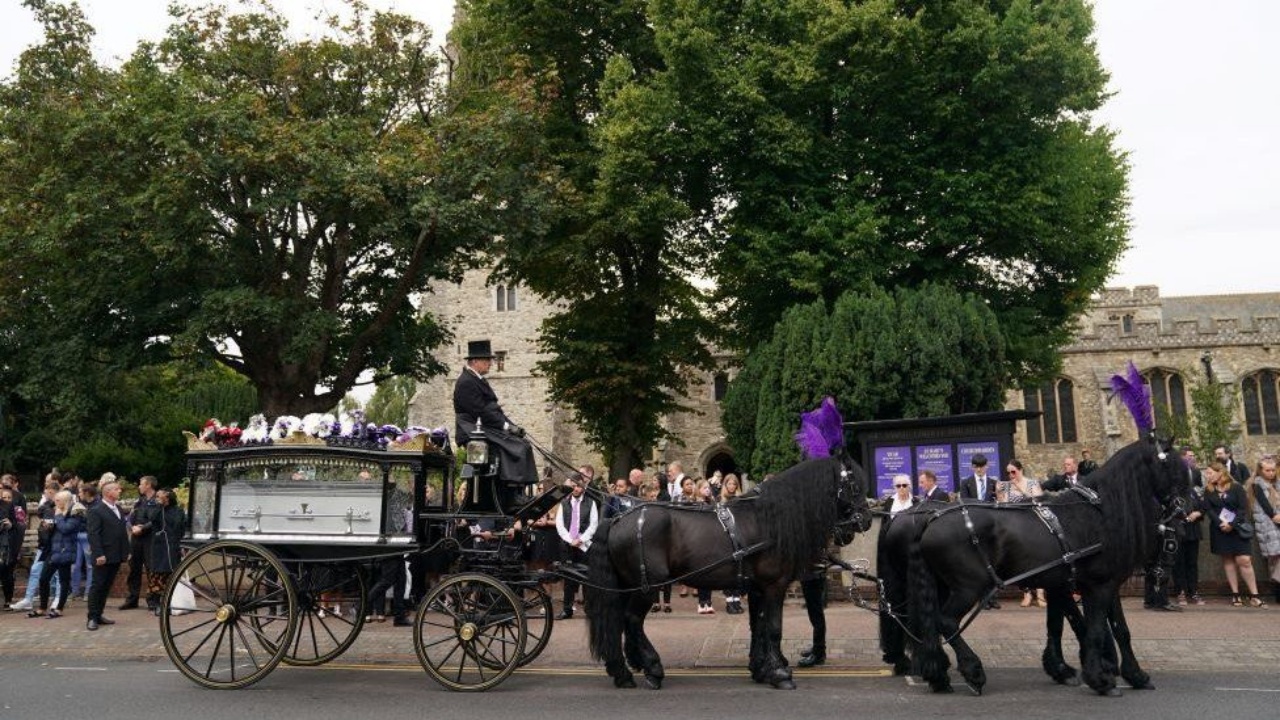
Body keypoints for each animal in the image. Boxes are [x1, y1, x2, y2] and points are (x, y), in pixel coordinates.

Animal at [586, 450, 870, 686]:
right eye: (854, 485)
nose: (865, 520)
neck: (768, 520)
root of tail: (617, 519)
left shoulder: (757, 588)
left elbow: (758, 627)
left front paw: (761, 669)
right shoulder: (774, 585)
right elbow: (774, 628)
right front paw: (779, 673)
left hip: (629, 585)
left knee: (619, 621)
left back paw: (622, 671)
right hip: (648, 586)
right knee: (632, 620)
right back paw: (652, 668)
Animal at [901, 430, 1187, 696]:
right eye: (1171, 466)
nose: (1184, 509)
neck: (1097, 513)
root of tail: (931, 518)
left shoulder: (1086, 583)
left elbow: (1107, 629)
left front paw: (1131, 674)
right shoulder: (1099, 584)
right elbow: (1095, 629)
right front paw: (1101, 678)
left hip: (944, 585)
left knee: (932, 624)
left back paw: (938, 674)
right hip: (969, 586)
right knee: (946, 621)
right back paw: (973, 670)